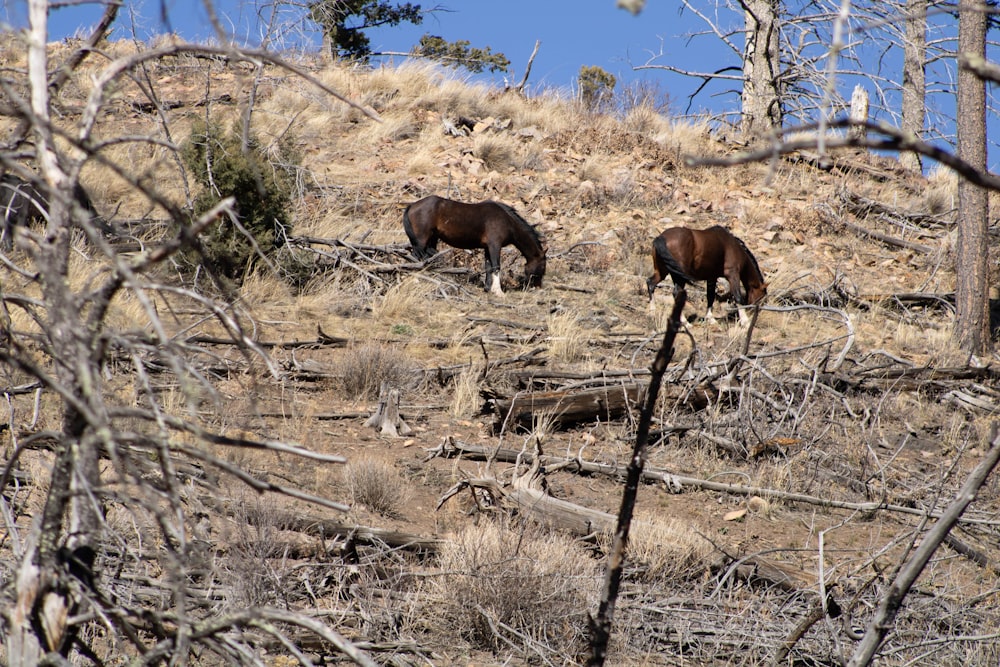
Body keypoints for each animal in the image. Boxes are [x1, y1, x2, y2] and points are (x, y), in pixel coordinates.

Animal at [400, 194, 548, 296]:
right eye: (543, 266)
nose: (538, 287)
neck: (507, 221)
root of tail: (412, 205)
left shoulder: (488, 248)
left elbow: (488, 267)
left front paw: (488, 288)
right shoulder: (495, 245)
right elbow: (496, 266)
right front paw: (498, 291)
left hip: (431, 240)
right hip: (422, 240)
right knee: (416, 257)